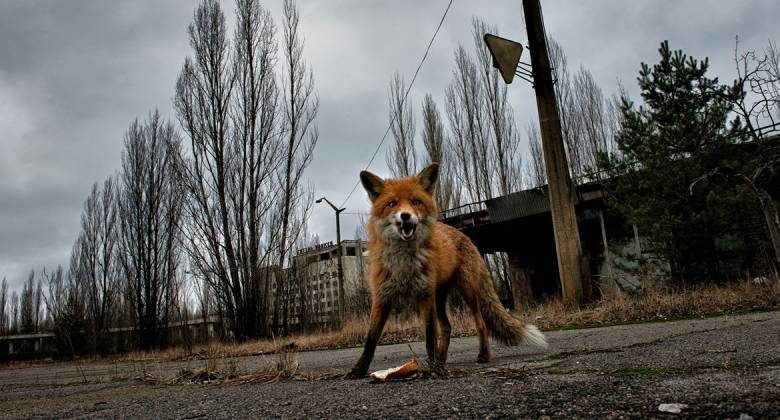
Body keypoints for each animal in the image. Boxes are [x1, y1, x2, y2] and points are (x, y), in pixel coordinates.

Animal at [348, 163, 548, 378]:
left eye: (416, 202)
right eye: (392, 204)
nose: (405, 216)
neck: (404, 262)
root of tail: (465, 235)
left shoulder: (425, 294)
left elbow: (429, 336)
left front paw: (432, 369)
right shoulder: (382, 296)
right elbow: (370, 339)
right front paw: (358, 370)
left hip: (466, 292)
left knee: (481, 323)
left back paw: (481, 356)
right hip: (439, 299)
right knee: (447, 327)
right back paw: (442, 361)